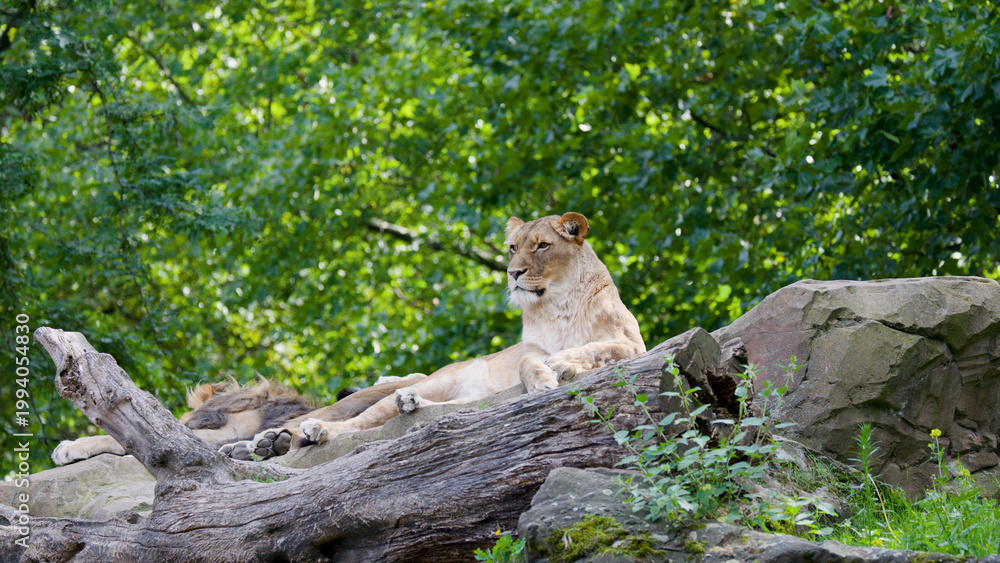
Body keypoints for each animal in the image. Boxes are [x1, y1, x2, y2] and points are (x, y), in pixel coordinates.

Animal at [225, 211, 646, 460]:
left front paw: (562, 364)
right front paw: (543, 377)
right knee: (349, 425)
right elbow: (527, 360)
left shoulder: (631, 343)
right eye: (512, 248)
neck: (558, 305)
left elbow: (595, 347)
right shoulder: (529, 347)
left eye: (542, 246)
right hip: (423, 385)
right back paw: (281, 439)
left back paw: (409, 403)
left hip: (457, 397)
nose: (513, 273)